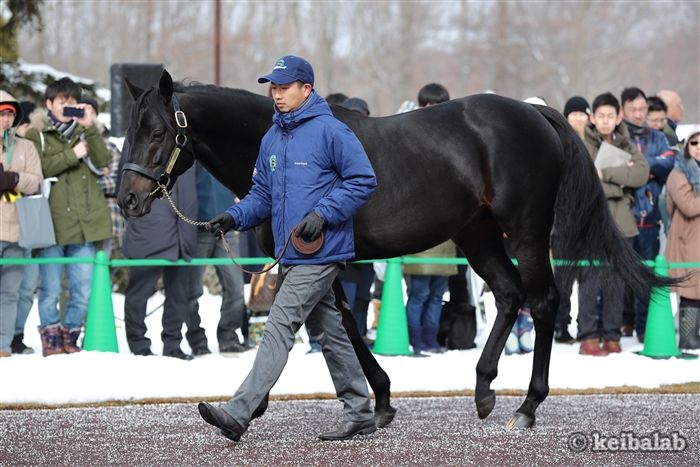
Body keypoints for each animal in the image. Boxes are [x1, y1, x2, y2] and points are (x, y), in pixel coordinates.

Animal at [118, 70, 674, 430]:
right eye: (128, 129)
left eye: (159, 131)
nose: (127, 199)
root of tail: (536, 113)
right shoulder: (319, 265)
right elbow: (333, 323)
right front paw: (376, 401)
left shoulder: (318, 259)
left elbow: (318, 324)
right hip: (477, 235)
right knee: (509, 295)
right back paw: (484, 390)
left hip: (528, 233)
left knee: (543, 302)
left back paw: (527, 407)